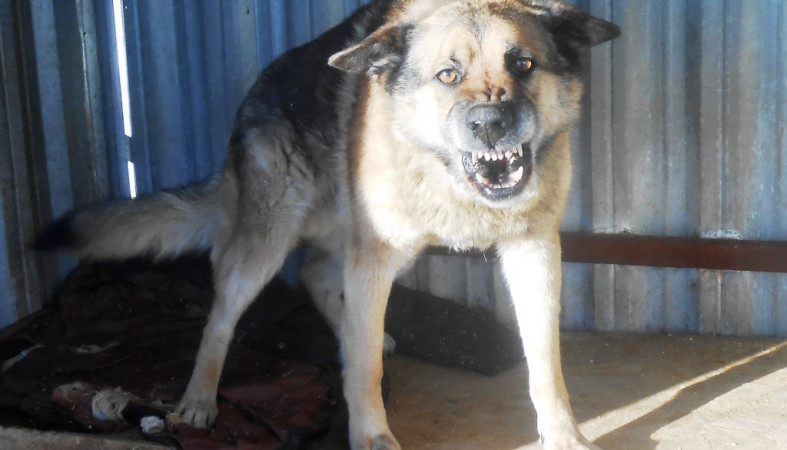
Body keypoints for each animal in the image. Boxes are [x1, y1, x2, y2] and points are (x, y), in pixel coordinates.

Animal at [37, 1, 620, 448]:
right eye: (448, 75)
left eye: (522, 64)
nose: (491, 124)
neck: (448, 175)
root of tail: (254, 95)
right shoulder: (372, 256)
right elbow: (364, 370)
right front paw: (370, 434)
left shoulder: (533, 252)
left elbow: (545, 363)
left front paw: (563, 435)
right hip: (270, 244)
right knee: (223, 315)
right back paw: (199, 399)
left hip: (373, 246)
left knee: (318, 275)